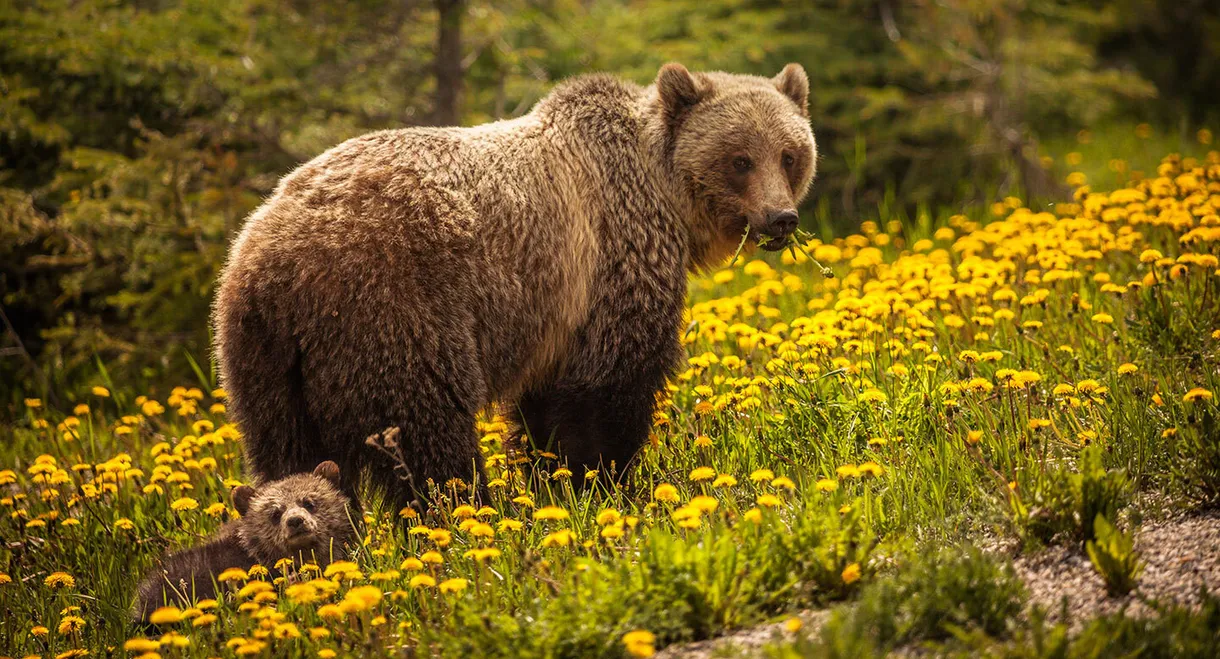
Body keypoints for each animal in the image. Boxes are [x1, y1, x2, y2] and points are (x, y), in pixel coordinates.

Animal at [213, 62, 817, 509]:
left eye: (790, 154)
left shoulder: (556, 313)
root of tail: (271, 262)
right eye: (740, 159)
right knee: (427, 431)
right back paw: (465, 512)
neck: (664, 194)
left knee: (288, 454)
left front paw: (553, 481)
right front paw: (606, 484)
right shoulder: (609, 260)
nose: (781, 218)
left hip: (264, 362)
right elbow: (610, 386)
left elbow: (545, 408)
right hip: (390, 309)